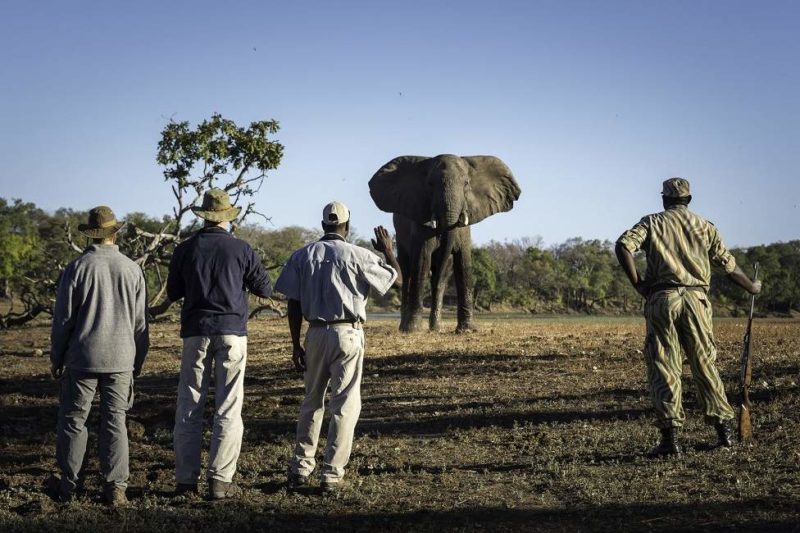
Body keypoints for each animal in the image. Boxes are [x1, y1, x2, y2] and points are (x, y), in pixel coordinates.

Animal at [368, 152, 520, 330]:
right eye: (430, 184)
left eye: (466, 183)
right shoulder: (421, 219)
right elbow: (422, 261)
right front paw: (413, 329)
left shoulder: (465, 226)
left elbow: (463, 262)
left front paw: (467, 330)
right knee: (407, 272)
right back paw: (405, 326)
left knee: (441, 277)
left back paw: (436, 327)